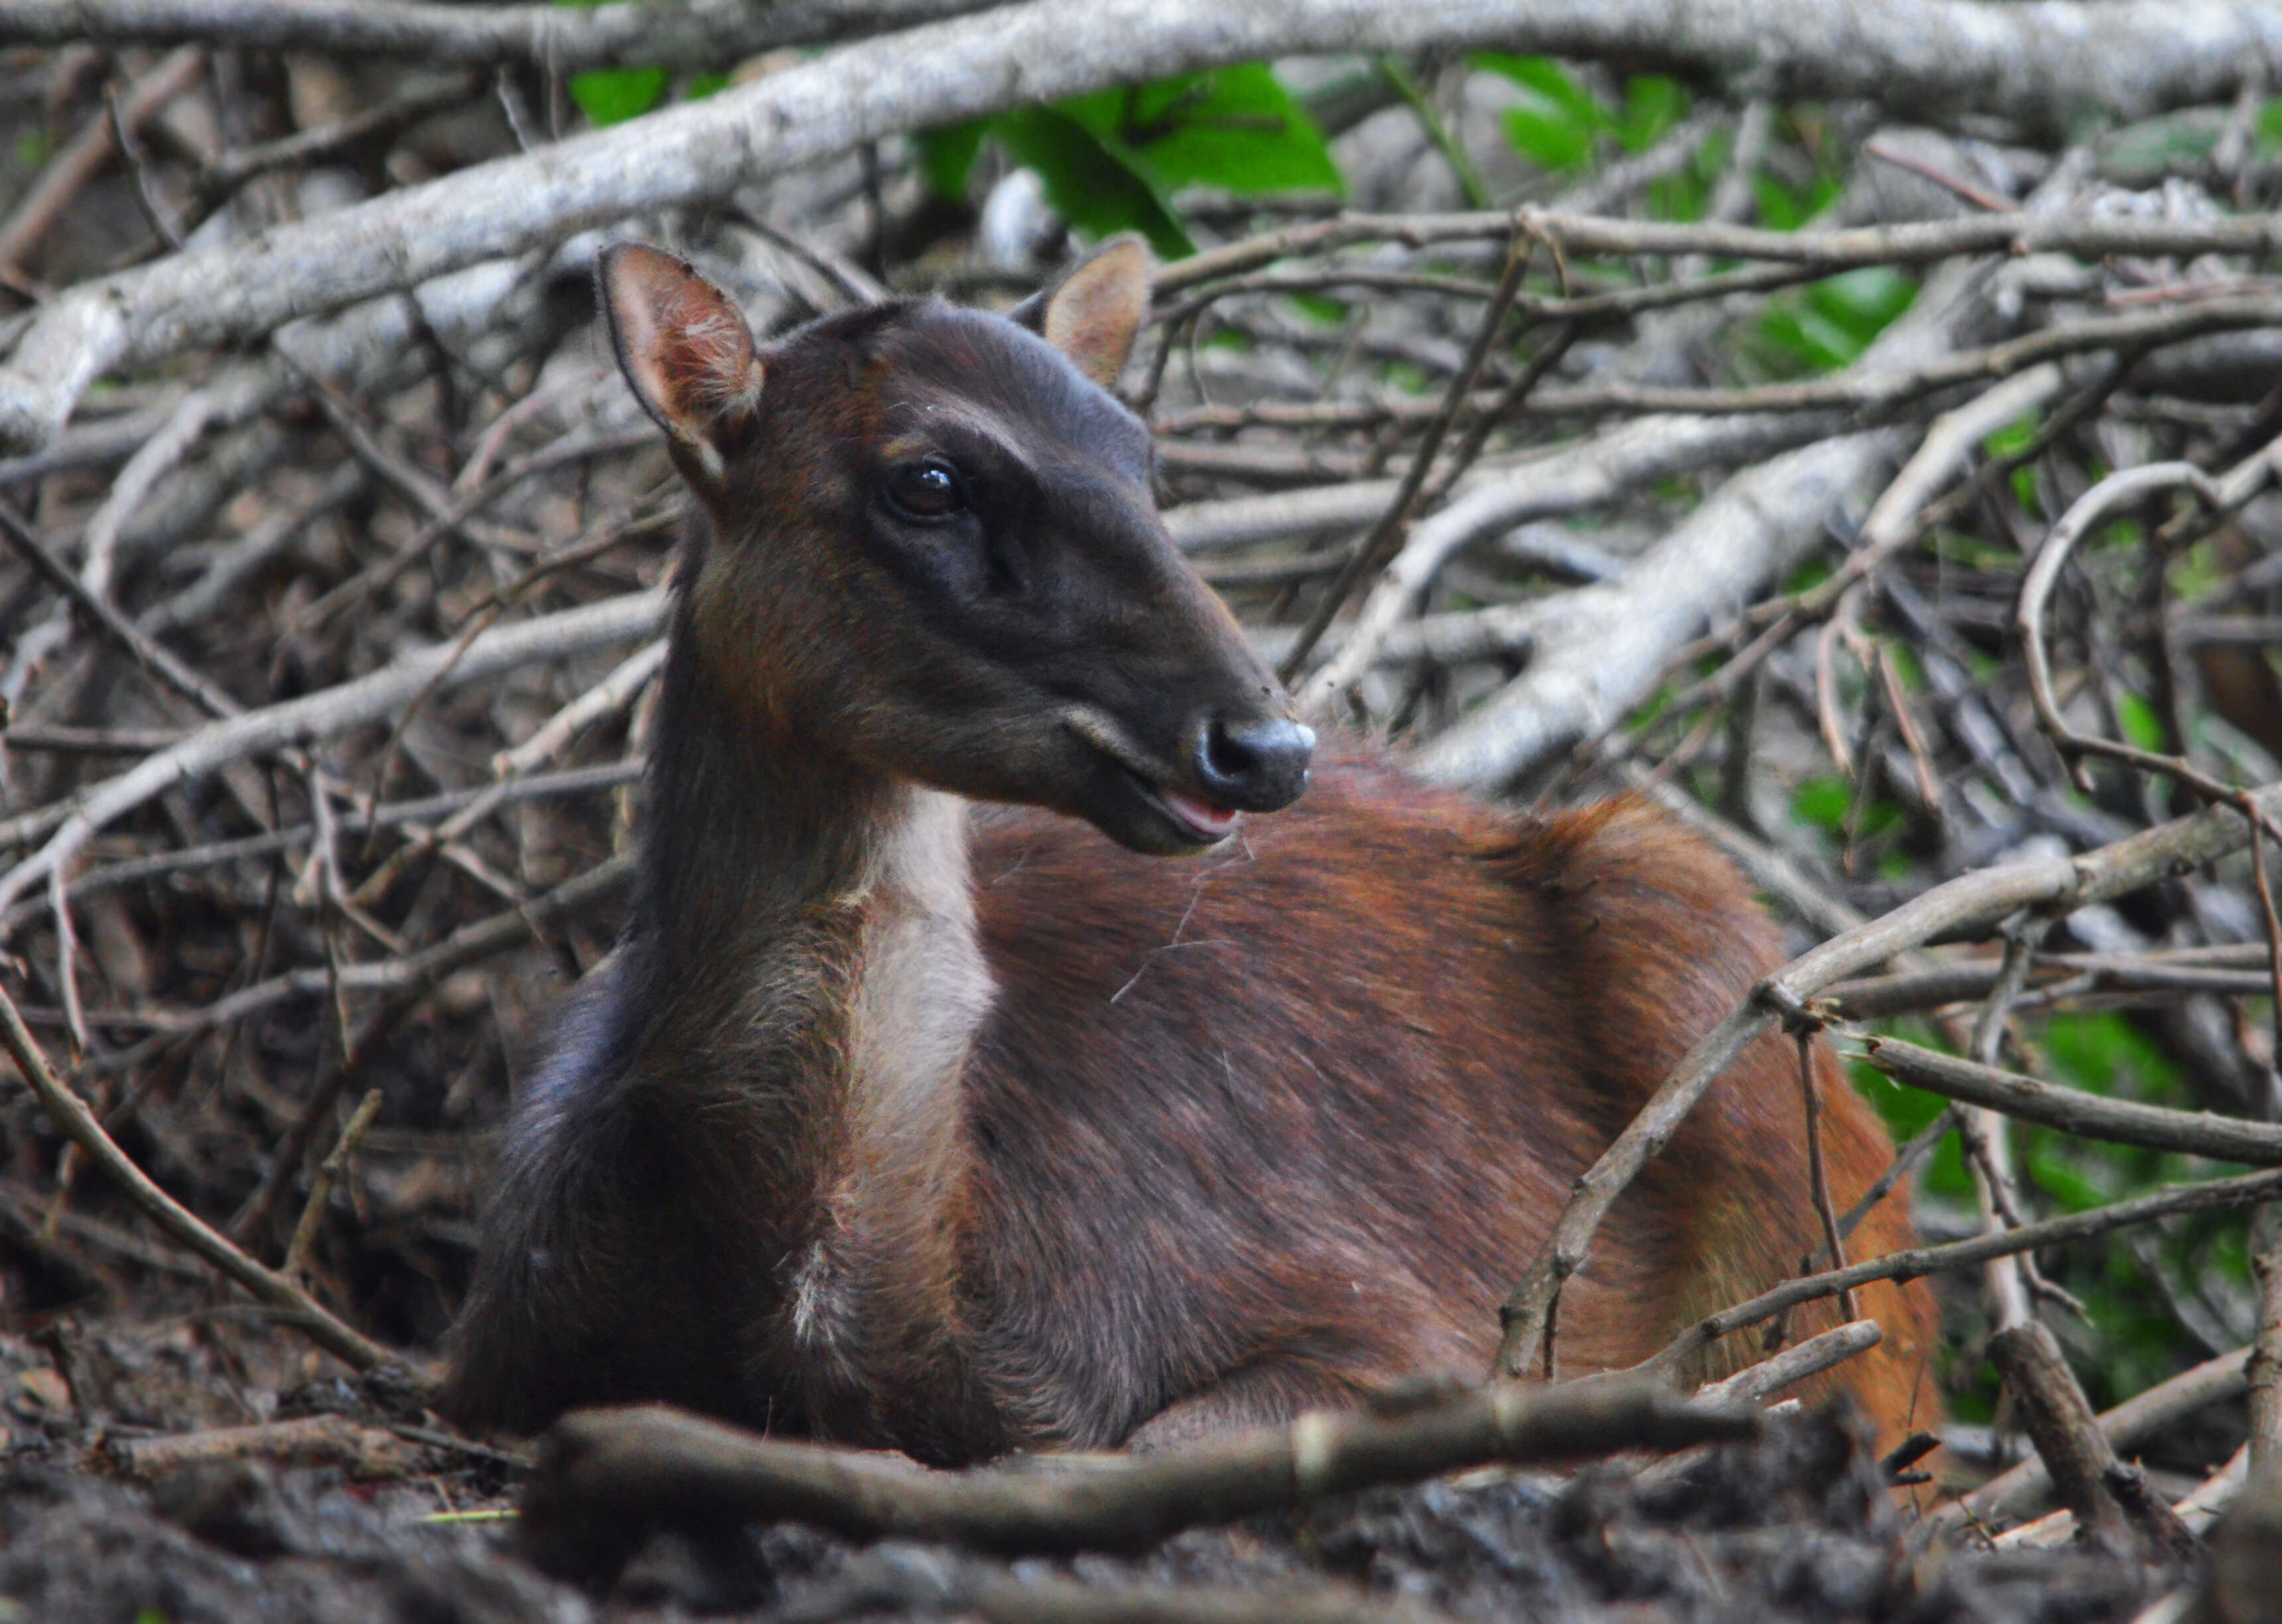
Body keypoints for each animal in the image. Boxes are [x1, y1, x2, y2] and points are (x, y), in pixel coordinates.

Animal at [436, 238, 1935, 1459]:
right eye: (928, 481)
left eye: (1144, 462)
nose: (1263, 743)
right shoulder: (493, 1352)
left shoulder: (1382, 1318)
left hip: (1717, 980)